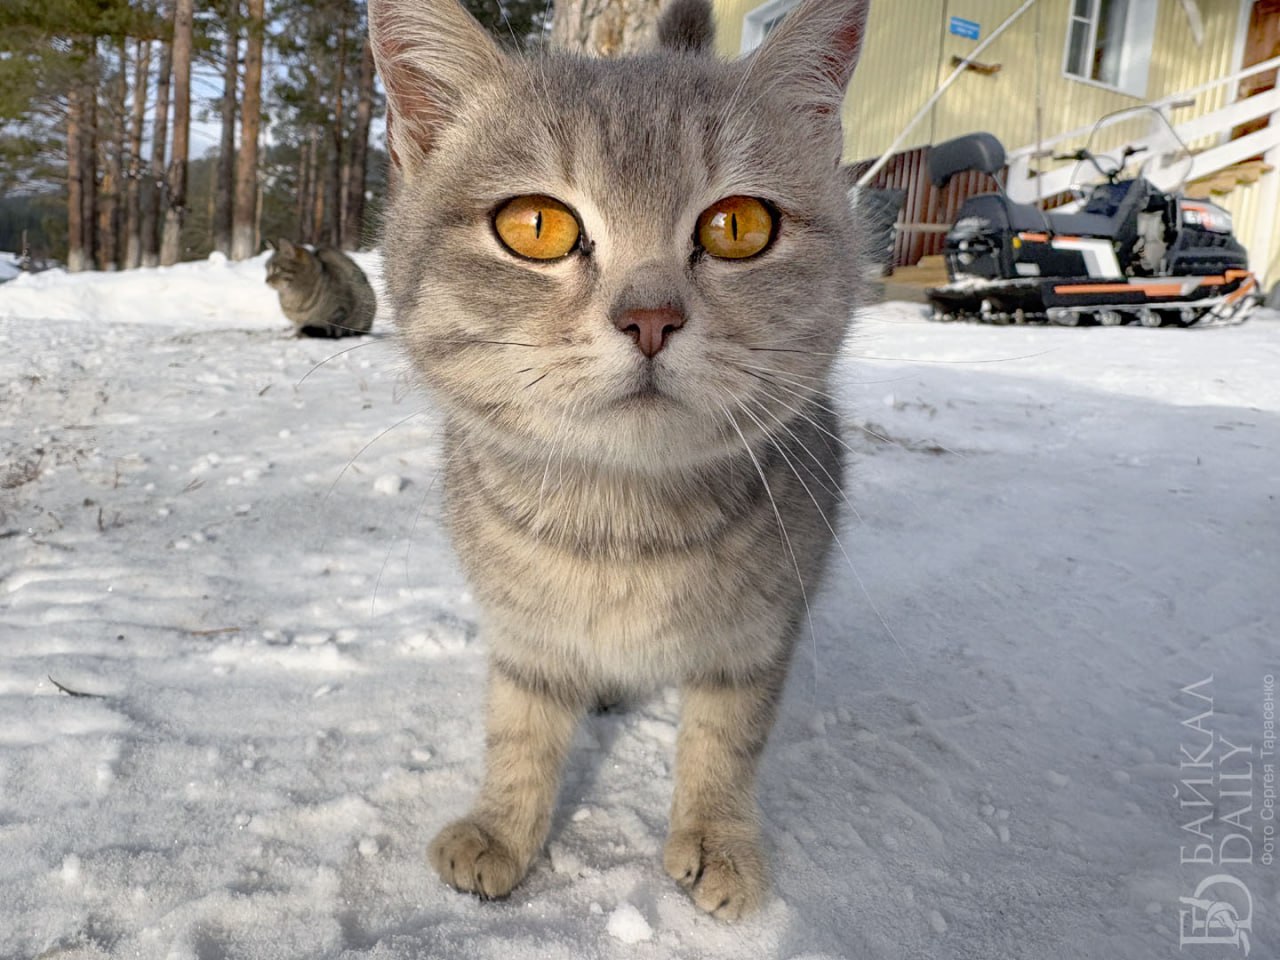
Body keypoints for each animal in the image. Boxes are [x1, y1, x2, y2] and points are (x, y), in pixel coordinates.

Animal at [369, 0, 868, 919]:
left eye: (738, 227)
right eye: (536, 225)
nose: (650, 317)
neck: (621, 529)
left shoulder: (757, 636)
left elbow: (724, 741)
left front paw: (718, 839)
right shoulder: (524, 631)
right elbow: (519, 727)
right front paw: (503, 826)